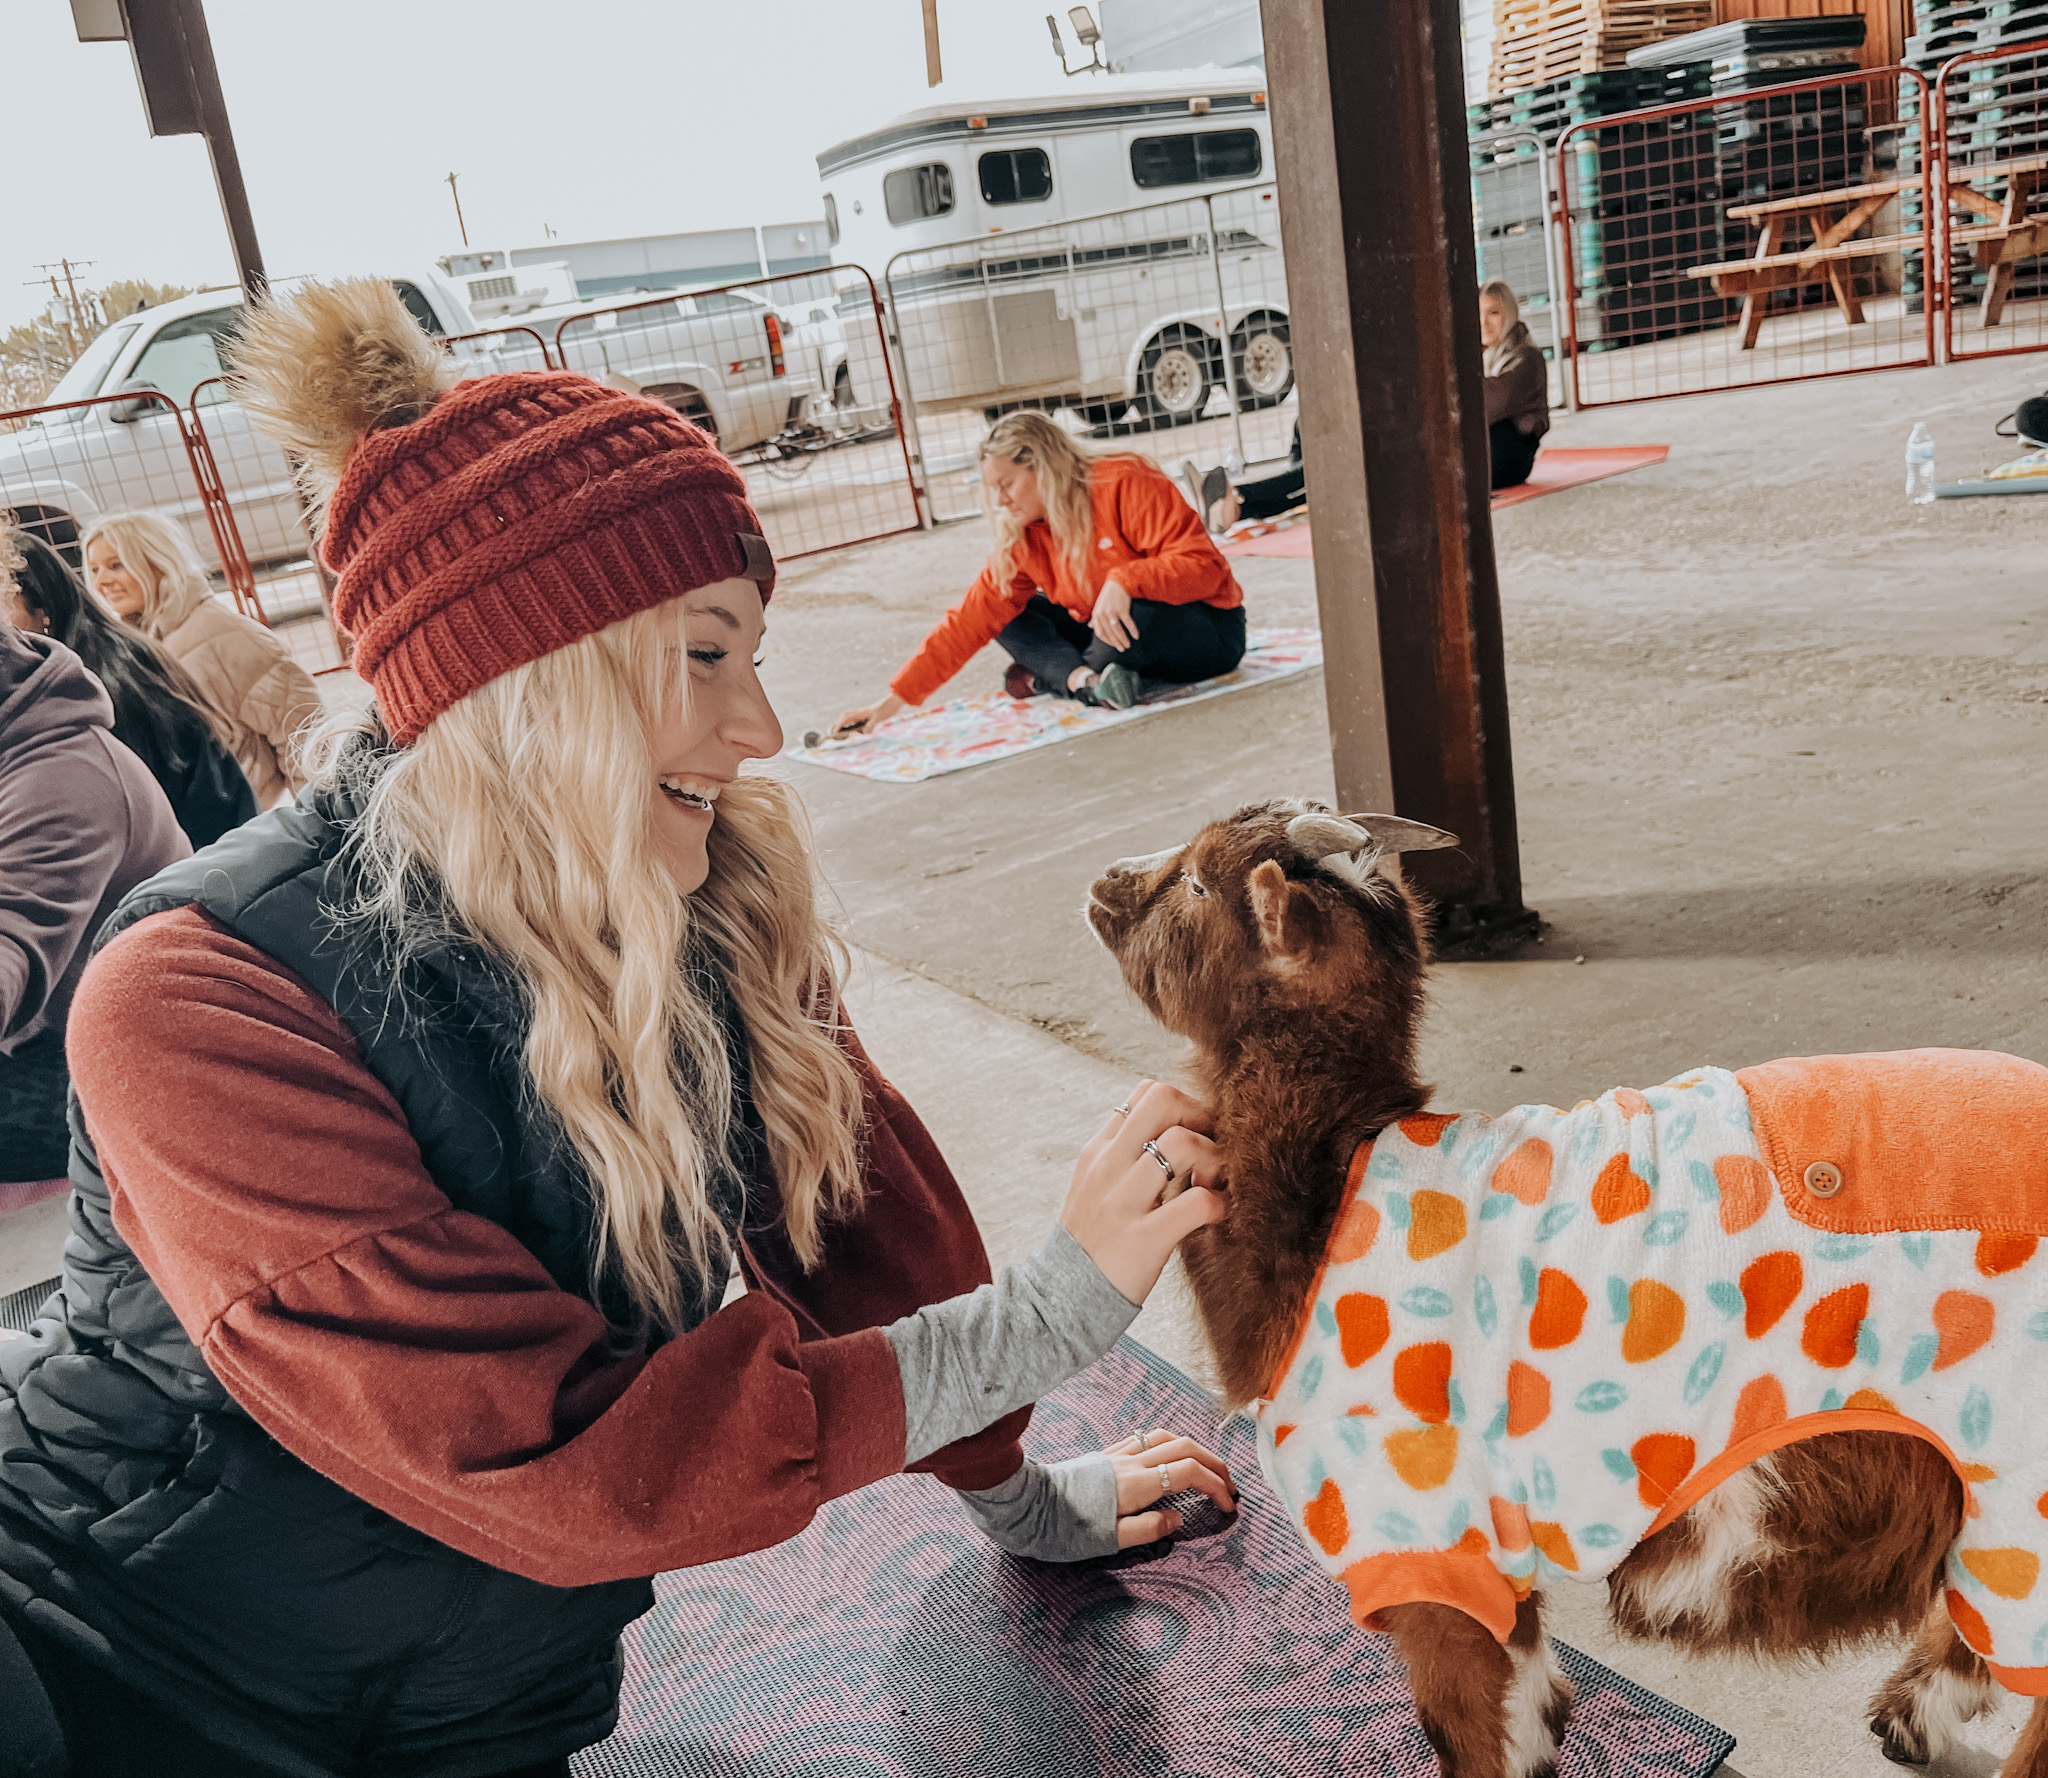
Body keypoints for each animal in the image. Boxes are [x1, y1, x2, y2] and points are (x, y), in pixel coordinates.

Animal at [1081, 802, 2039, 1778]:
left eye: (1197, 882)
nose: (1104, 882)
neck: (1326, 1202)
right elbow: (1529, 1691)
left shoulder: (1421, 1528)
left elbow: (1464, 1720)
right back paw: (1908, 1718)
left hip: (2016, 1479)